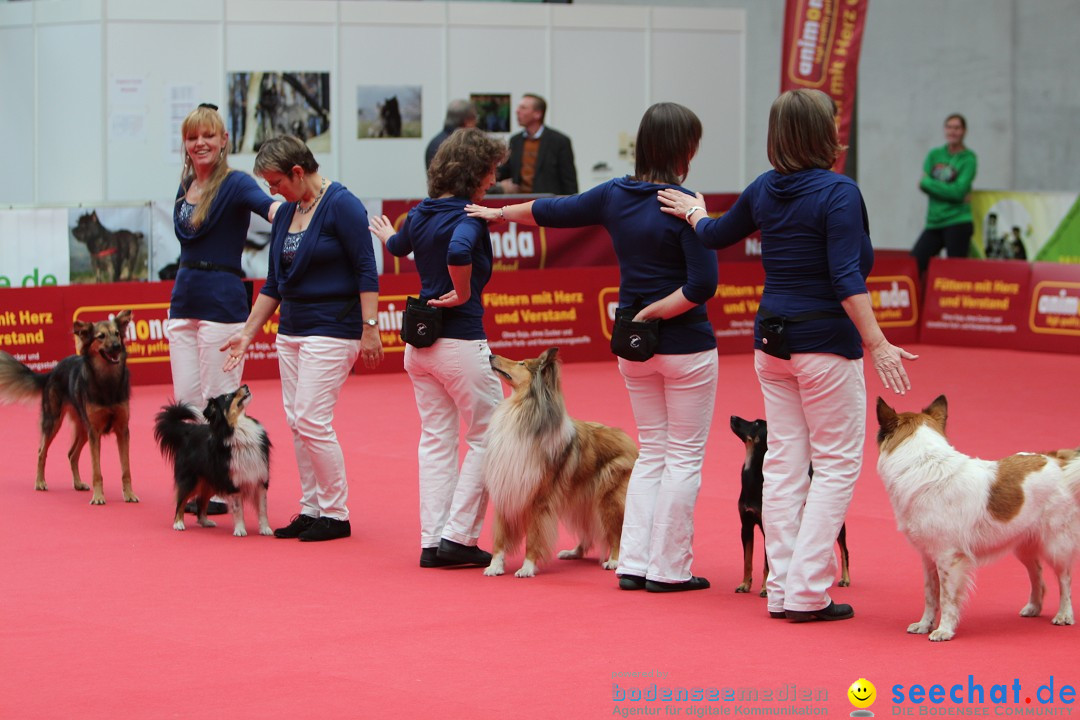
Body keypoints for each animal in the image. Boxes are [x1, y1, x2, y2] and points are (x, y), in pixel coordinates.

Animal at [0, 310, 137, 507]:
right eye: (101, 336)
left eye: (117, 334)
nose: (117, 347)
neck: (107, 381)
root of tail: (51, 372)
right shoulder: (95, 431)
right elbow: (97, 471)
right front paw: (98, 496)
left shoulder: (122, 430)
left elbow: (126, 469)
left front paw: (129, 494)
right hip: (54, 422)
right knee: (41, 452)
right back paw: (40, 482)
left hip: (83, 428)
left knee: (72, 454)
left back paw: (78, 483)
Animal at [156, 388, 274, 535]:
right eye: (228, 396)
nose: (246, 386)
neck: (238, 427)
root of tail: (188, 430)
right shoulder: (233, 483)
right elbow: (238, 509)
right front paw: (240, 530)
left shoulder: (260, 479)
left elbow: (263, 509)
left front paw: (265, 529)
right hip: (191, 479)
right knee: (181, 500)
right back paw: (178, 523)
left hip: (211, 481)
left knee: (201, 501)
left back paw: (205, 522)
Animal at [483, 345, 639, 578]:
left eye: (522, 363)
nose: (491, 355)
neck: (521, 411)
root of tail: (629, 441)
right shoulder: (507, 489)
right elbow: (500, 538)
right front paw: (495, 566)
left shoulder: (538, 500)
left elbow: (533, 536)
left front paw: (527, 568)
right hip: (581, 501)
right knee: (588, 530)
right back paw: (573, 552)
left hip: (607, 500)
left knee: (616, 531)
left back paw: (613, 561)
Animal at [876, 397, 1080, 643]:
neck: (925, 464)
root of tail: (1056, 460)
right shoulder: (929, 558)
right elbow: (930, 595)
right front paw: (925, 624)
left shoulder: (949, 558)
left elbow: (946, 598)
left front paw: (944, 630)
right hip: (1023, 545)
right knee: (1037, 575)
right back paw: (1033, 607)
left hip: (1056, 544)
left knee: (1064, 579)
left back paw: (1064, 614)